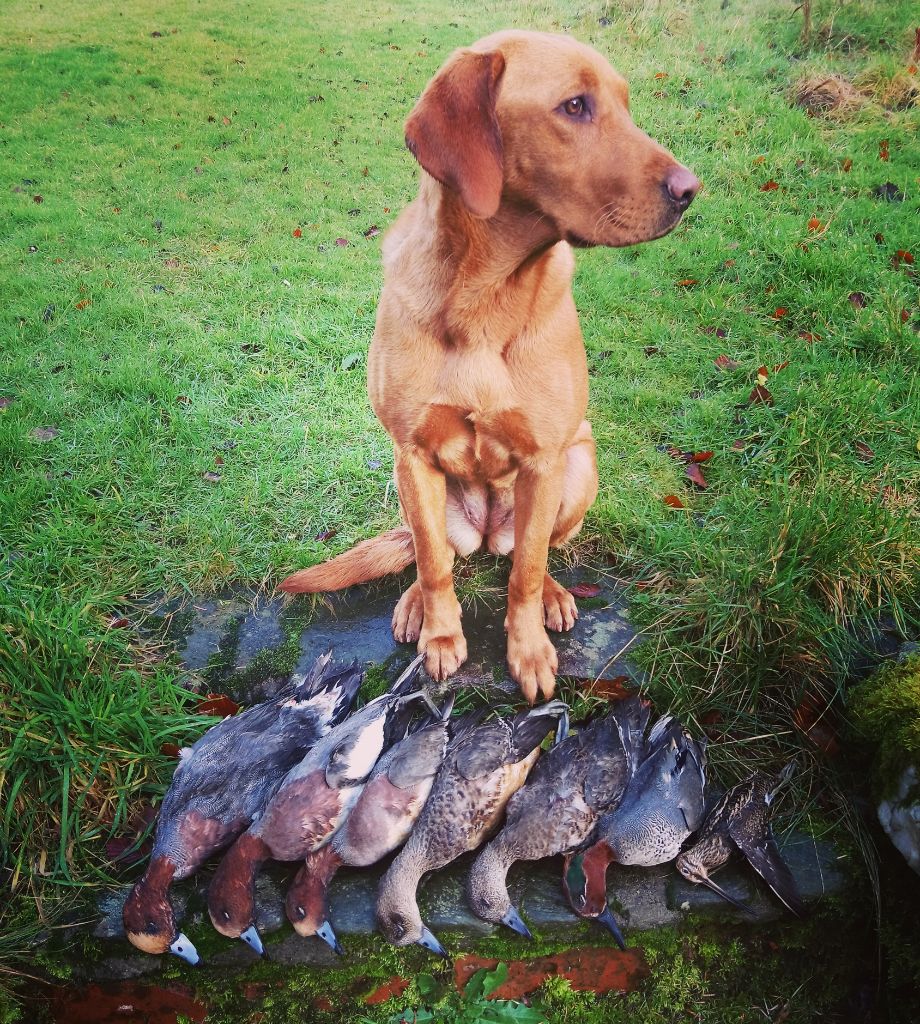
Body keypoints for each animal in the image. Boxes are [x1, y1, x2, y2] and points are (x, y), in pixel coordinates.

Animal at [278, 29, 696, 704]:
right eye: (575, 106)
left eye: (626, 104)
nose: (691, 190)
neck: (485, 296)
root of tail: (488, 530)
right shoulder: (413, 453)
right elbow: (433, 563)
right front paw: (442, 637)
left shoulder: (544, 459)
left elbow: (524, 570)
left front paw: (528, 651)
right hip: (413, 488)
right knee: (434, 553)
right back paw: (415, 604)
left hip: (578, 468)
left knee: (533, 552)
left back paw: (553, 596)